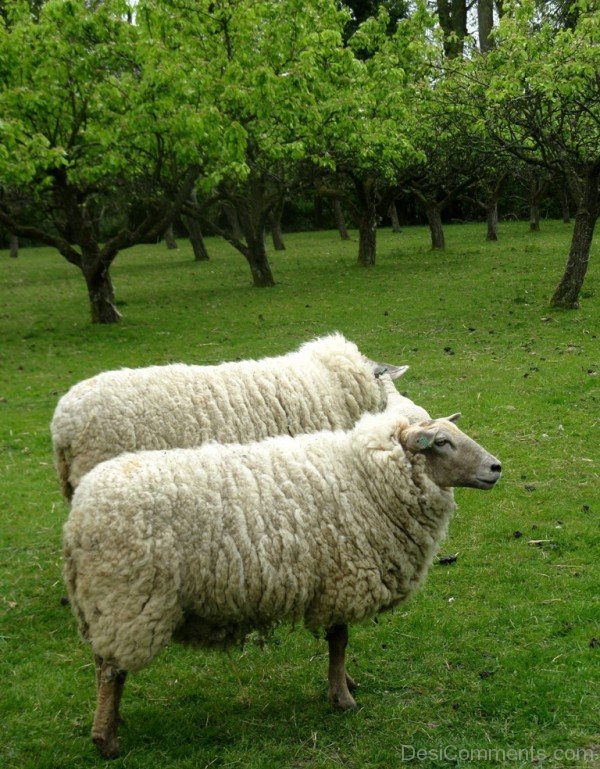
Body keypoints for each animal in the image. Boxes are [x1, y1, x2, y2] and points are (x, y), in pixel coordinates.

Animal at [63, 380, 500, 756]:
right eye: (442, 443)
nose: (496, 467)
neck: (366, 479)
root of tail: (78, 515)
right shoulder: (341, 579)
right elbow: (339, 641)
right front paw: (342, 696)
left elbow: (339, 644)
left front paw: (345, 682)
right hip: (128, 599)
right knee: (111, 670)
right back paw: (106, 740)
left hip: (106, 604)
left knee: (103, 664)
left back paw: (113, 720)